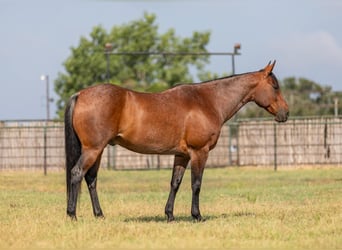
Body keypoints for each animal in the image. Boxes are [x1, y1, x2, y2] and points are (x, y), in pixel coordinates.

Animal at [65, 60, 288, 221]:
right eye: (275, 86)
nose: (285, 113)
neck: (207, 101)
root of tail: (81, 94)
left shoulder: (181, 155)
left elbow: (175, 183)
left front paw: (169, 215)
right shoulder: (199, 152)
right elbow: (196, 184)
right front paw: (197, 216)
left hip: (98, 150)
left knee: (91, 179)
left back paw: (99, 215)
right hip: (93, 149)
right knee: (77, 173)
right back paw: (72, 215)